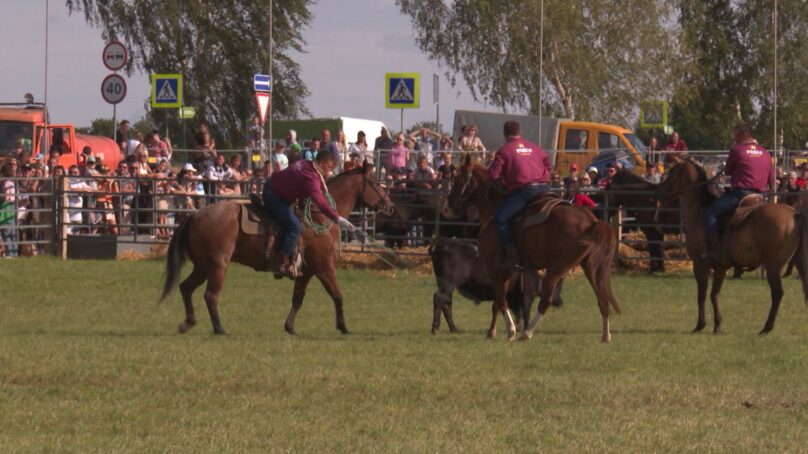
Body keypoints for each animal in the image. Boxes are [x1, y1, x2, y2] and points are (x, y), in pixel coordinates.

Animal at [158, 165, 392, 336]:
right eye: (376, 183)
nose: (389, 206)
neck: (319, 217)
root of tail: (194, 215)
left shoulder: (306, 271)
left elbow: (298, 299)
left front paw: (290, 327)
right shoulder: (323, 267)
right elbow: (337, 294)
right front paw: (343, 326)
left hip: (203, 266)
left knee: (185, 288)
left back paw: (188, 323)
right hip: (217, 266)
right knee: (210, 295)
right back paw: (220, 329)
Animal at [448, 159, 620, 340]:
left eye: (457, 180)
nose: (448, 205)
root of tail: (591, 221)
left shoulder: (497, 270)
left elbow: (500, 300)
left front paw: (509, 331)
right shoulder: (512, 271)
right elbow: (500, 302)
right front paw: (493, 331)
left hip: (556, 270)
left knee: (546, 301)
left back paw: (527, 333)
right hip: (592, 267)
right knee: (602, 298)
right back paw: (606, 336)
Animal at [652, 159, 808, 334]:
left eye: (672, 174)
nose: (657, 193)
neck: (699, 210)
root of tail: (794, 213)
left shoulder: (700, 264)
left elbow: (702, 295)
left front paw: (700, 324)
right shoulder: (721, 267)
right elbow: (714, 294)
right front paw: (717, 325)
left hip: (773, 265)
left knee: (777, 293)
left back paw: (766, 328)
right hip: (798, 260)